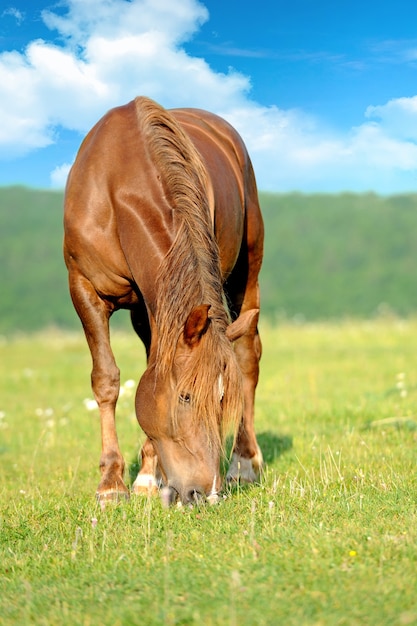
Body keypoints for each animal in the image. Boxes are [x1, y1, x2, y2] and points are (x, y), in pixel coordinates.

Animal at [63, 97, 262, 504]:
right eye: (185, 397)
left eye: (222, 400)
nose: (206, 493)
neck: (118, 183)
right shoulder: (85, 288)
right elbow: (106, 379)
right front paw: (112, 484)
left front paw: (145, 476)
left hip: (247, 270)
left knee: (248, 358)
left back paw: (244, 462)